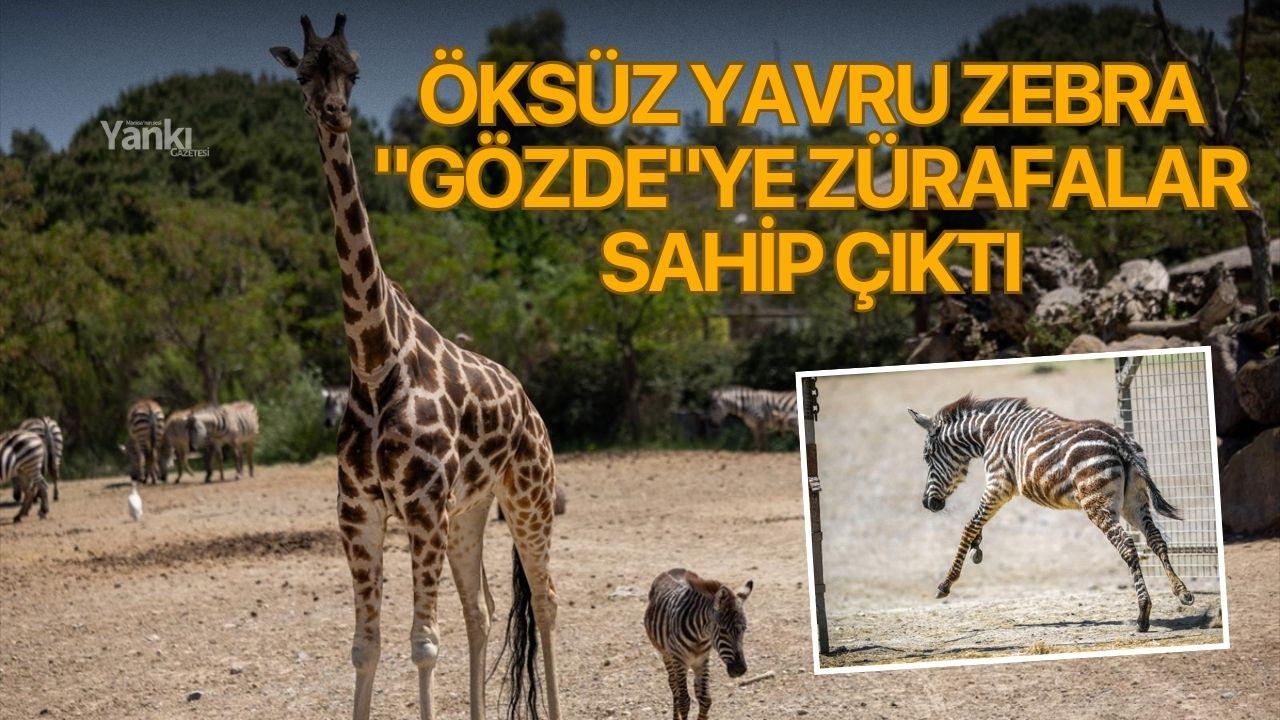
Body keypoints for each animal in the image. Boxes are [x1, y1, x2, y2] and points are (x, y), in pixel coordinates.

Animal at [644, 568, 753, 720]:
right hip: (666, 654)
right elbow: (684, 701)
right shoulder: (680, 661)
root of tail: (670, 570)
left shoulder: (702, 660)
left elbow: (706, 699)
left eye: (744, 629)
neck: (700, 637)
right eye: (723, 630)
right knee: (673, 684)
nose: (740, 669)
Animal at [908, 394, 1194, 632]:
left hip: (1097, 504)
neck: (989, 433)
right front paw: (976, 548)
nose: (928, 504)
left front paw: (946, 583)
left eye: (928, 457)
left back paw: (1143, 614)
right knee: (1156, 540)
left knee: (1127, 547)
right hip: (1133, 502)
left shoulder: (999, 485)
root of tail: (1121, 441)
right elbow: (976, 525)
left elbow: (968, 526)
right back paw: (1182, 592)